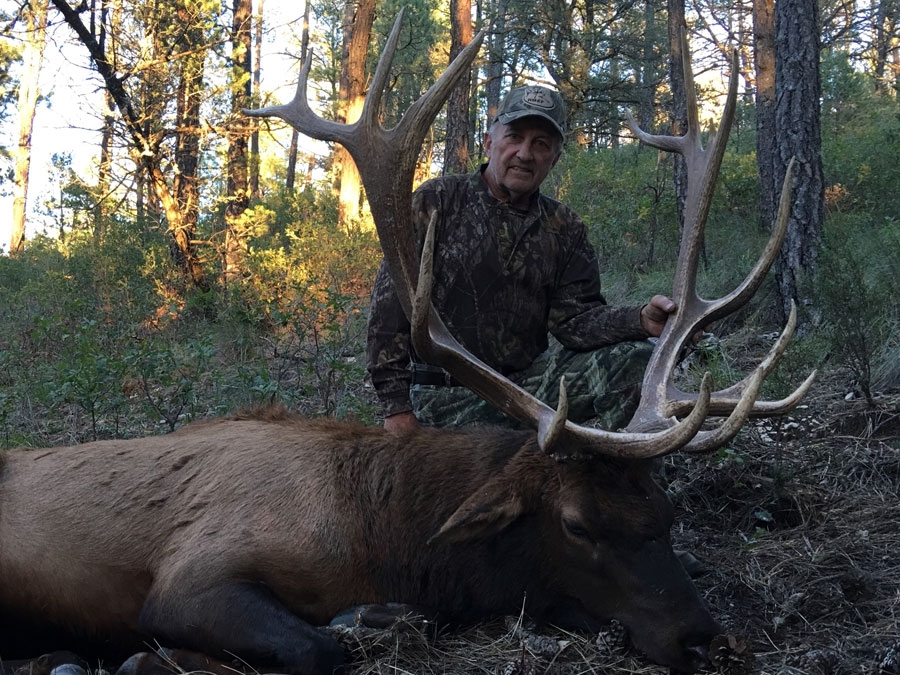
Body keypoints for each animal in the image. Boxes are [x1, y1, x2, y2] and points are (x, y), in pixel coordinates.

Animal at [0, 13, 816, 675]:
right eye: (579, 525)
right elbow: (315, 646)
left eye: (665, 515)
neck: (382, 541)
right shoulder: (192, 574)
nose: (705, 639)